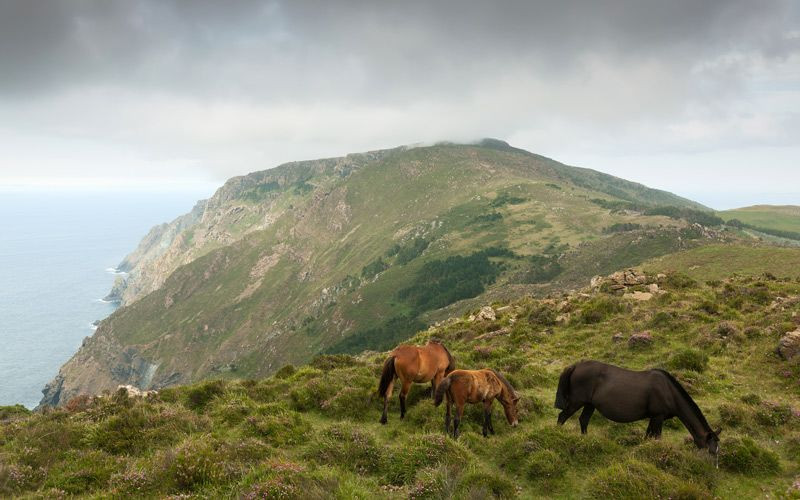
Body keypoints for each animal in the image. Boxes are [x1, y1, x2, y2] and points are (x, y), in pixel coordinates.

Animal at [552, 360, 720, 458]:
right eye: (711, 451)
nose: (712, 470)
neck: (668, 391)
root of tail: (575, 366)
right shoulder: (658, 417)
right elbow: (656, 437)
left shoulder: (653, 417)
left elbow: (648, 436)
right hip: (576, 402)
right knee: (562, 417)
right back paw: (558, 437)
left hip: (589, 404)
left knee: (583, 420)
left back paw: (586, 441)